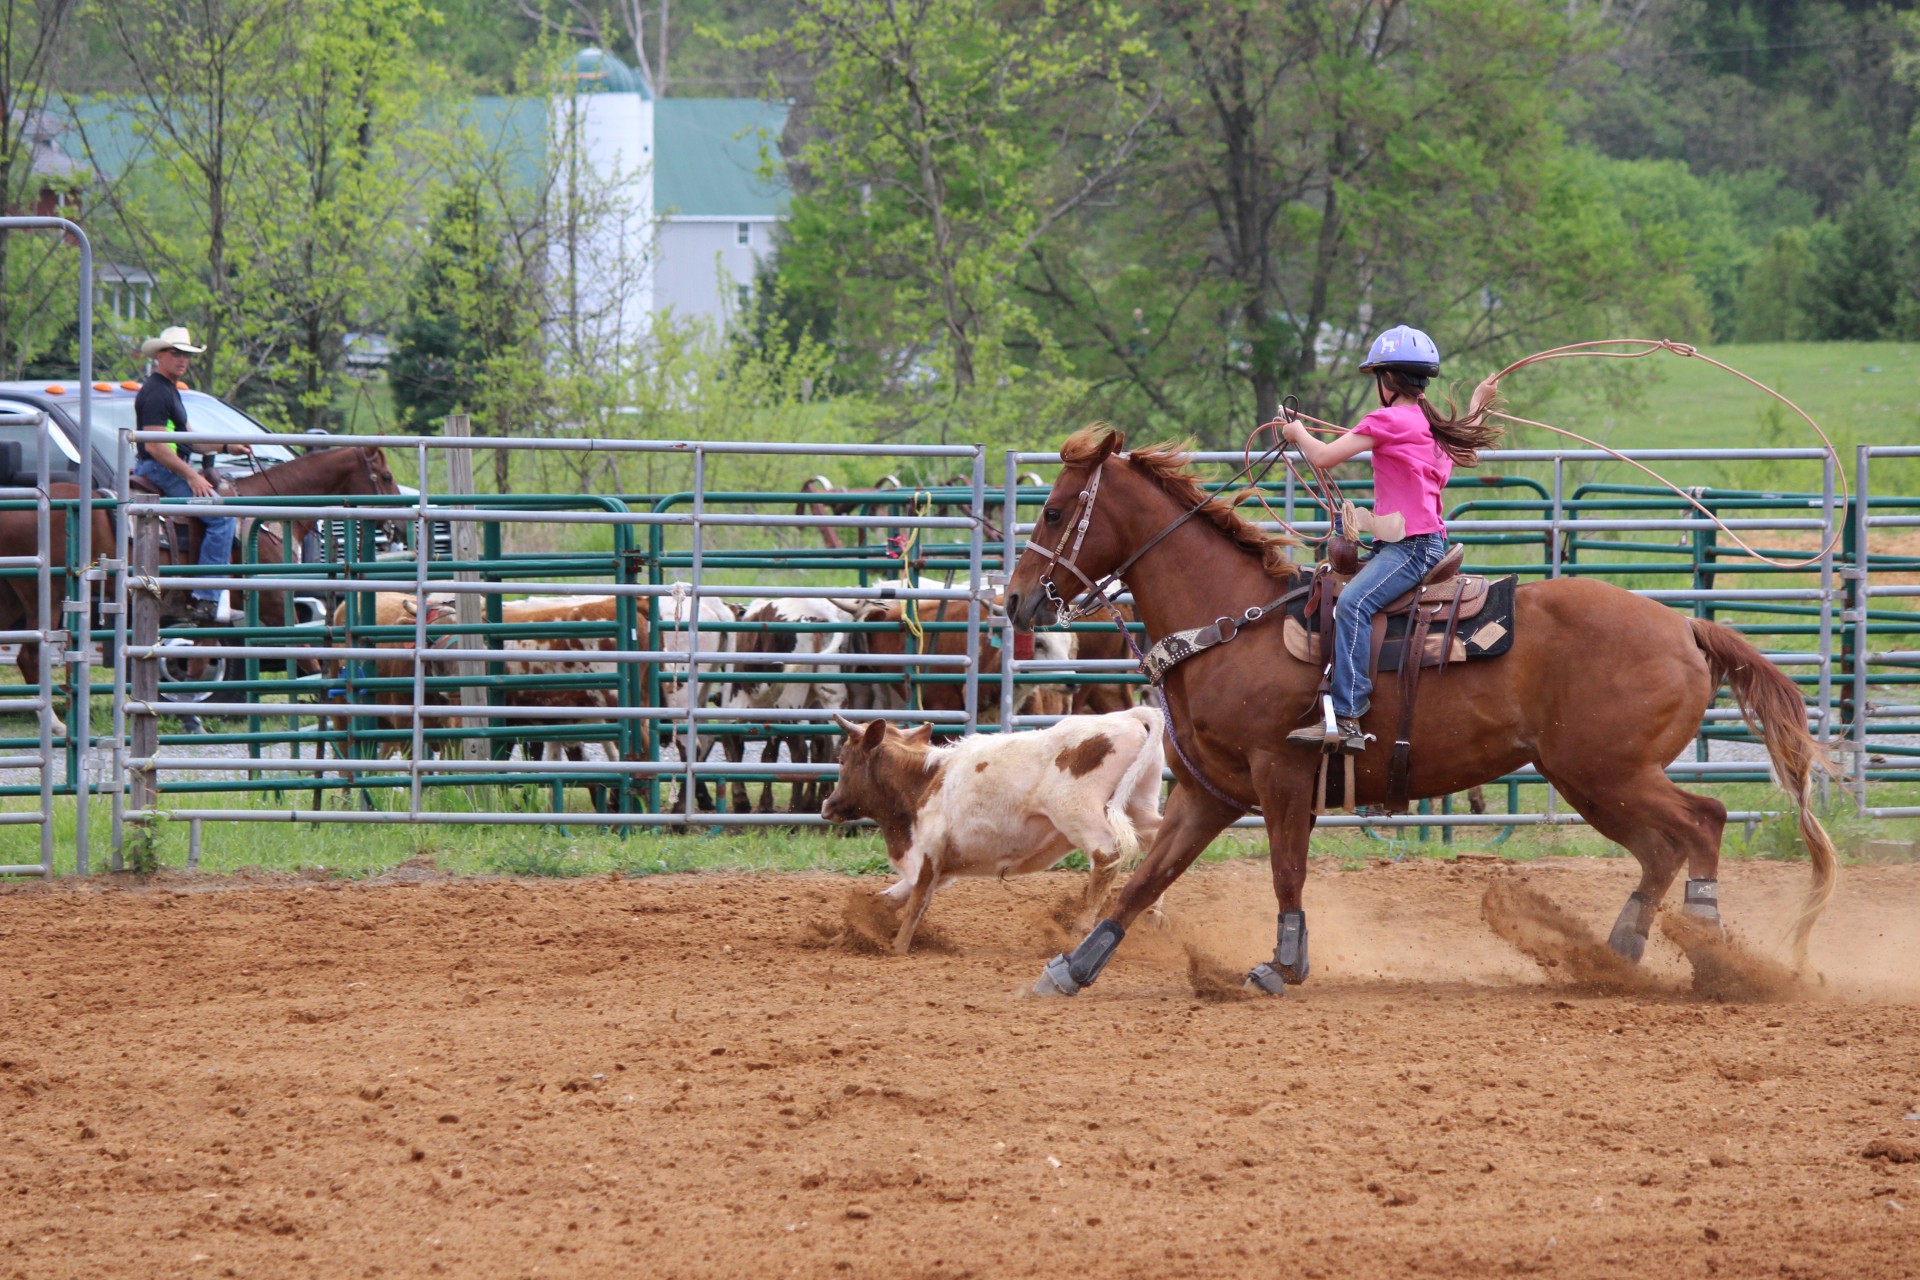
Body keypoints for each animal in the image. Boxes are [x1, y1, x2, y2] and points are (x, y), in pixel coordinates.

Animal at [0, 443, 401, 702]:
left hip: (17, 598)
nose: (397, 525)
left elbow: (196, 662)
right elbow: (306, 653)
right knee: (30, 657)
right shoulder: (273, 601)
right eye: (384, 475)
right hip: (45, 594)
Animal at [817, 710, 1159, 951]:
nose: (826, 806)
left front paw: (897, 947)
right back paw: (1153, 919)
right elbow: (887, 898)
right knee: (1159, 843)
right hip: (1139, 807)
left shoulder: (930, 852)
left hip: (1078, 813)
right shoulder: (941, 867)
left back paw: (1079, 931)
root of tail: (1130, 716)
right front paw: (841, 938)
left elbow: (916, 903)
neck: (926, 780)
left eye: (842, 759)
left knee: (1107, 855)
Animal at [998, 429, 1835, 997]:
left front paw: (1283, 964)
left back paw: (1712, 952)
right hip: (1591, 779)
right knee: (1661, 849)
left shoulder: (1282, 774)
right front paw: (1072, 966)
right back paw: (1616, 955)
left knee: (1703, 821)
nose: (1015, 601)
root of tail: (1684, 626)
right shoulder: (1212, 791)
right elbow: (1149, 878)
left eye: (1054, 510)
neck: (1234, 622)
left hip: (1611, 771)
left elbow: (1286, 871)